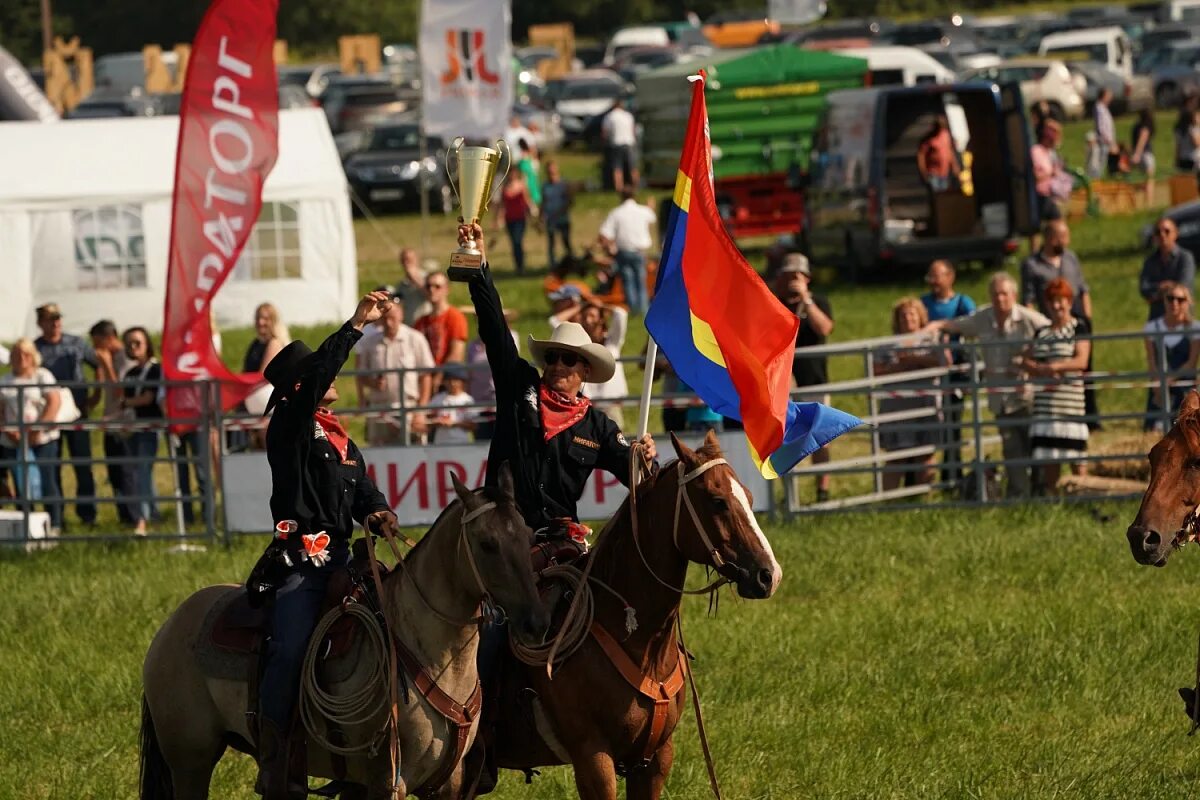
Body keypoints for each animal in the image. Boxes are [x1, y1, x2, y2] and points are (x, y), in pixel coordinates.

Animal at [140, 465, 549, 796]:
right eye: (487, 543)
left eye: (529, 535)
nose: (537, 622)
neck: (431, 656)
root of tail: (171, 625)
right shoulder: (388, 780)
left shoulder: (447, 783)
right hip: (190, 761)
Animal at [472, 431, 782, 800]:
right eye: (717, 500)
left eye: (748, 496)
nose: (768, 575)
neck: (640, 643)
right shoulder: (593, 759)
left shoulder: (655, 759)